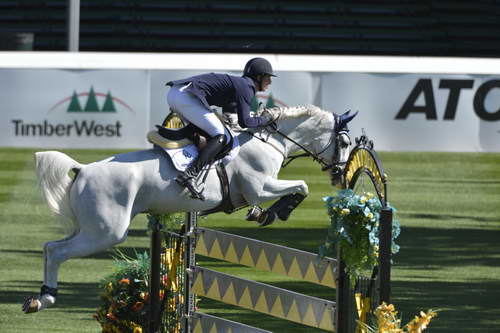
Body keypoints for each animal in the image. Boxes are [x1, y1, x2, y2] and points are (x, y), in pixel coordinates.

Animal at [22, 104, 352, 312]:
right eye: (346, 143)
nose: (340, 175)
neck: (268, 140)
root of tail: (83, 169)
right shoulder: (260, 186)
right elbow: (301, 186)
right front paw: (274, 212)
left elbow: (298, 187)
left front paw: (265, 212)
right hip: (106, 233)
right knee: (59, 252)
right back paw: (46, 299)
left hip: (89, 228)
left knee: (50, 248)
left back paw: (39, 298)